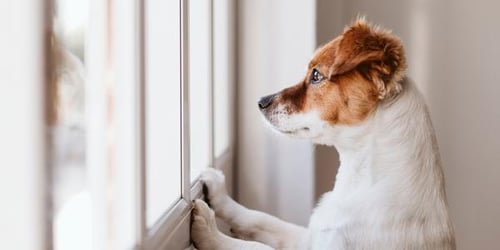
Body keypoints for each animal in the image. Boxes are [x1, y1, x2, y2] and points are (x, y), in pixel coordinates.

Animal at [189, 18, 456, 250]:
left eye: (316, 75)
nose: (260, 102)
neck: (362, 180)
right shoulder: (310, 238)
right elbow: (262, 219)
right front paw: (220, 195)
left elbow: (255, 247)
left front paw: (210, 231)